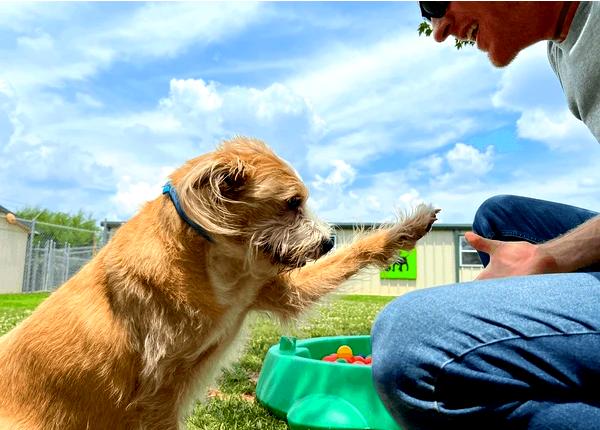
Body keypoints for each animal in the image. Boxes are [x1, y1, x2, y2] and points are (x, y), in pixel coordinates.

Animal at [0, 137, 440, 426]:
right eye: (292, 203)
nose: (328, 241)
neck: (213, 264)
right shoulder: (157, 391)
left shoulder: (276, 291)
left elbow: (357, 251)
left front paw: (409, 228)